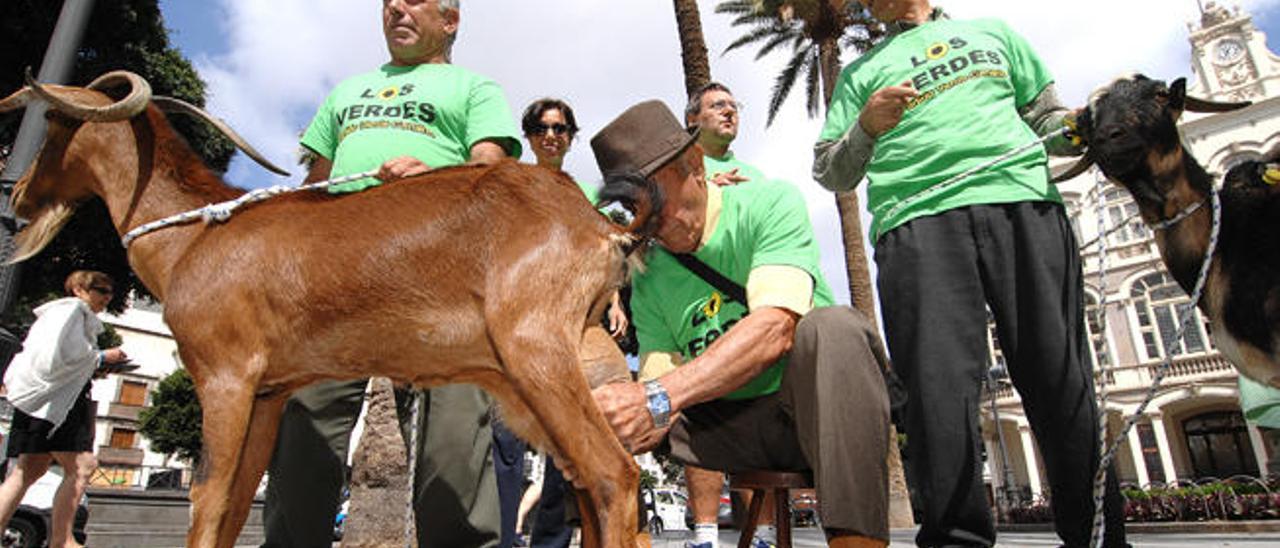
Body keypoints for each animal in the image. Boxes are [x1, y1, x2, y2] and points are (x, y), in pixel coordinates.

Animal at [2, 72, 650, 548]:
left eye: (55, 119)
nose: (19, 195)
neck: (194, 236)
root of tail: (602, 227)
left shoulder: (225, 376)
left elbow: (206, 496)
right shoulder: (268, 392)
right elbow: (237, 501)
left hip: (534, 353)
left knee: (613, 474)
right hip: (548, 377)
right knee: (588, 489)